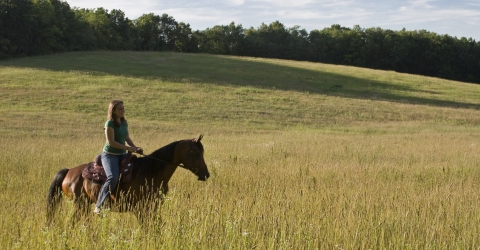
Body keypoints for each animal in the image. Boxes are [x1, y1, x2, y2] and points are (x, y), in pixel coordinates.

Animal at [47, 135, 210, 225]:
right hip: (80, 205)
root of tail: (69, 172)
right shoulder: (141, 209)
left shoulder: (153, 207)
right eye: (196, 153)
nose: (206, 174)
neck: (151, 172)